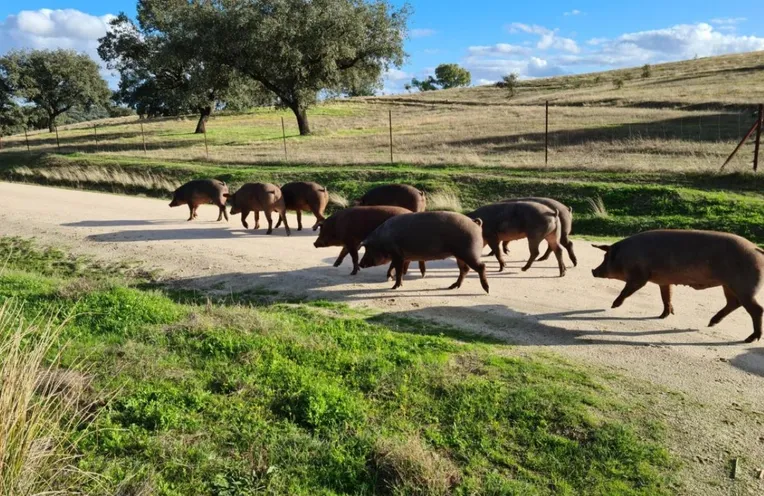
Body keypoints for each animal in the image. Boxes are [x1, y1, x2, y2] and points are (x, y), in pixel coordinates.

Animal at [356, 211, 486, 292]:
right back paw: (452, 287)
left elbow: (398, 270)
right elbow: (394, 267)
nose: (360, 264)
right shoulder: (400, 256)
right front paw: (392, 279)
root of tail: (475, 223)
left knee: (481, 266)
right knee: (465, 269)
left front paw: (394, 287)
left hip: (468, 253)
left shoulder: (397, 255)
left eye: (368, 249)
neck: (382, 240)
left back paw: (486, 289)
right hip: (460, 255)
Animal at [592, 231, 764, 342]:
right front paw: (663, 316)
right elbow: (666, 296)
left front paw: (613, 306)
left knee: (756, 309)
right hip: (728, 286)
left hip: (743, 287)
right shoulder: (663, 281)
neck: (625, 255)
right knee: (733, 303)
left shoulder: (639, 276)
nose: (593, 271)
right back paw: (711, 323)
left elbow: (627, 290)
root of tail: (757, 249)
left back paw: (750, 339)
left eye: (606, 256)